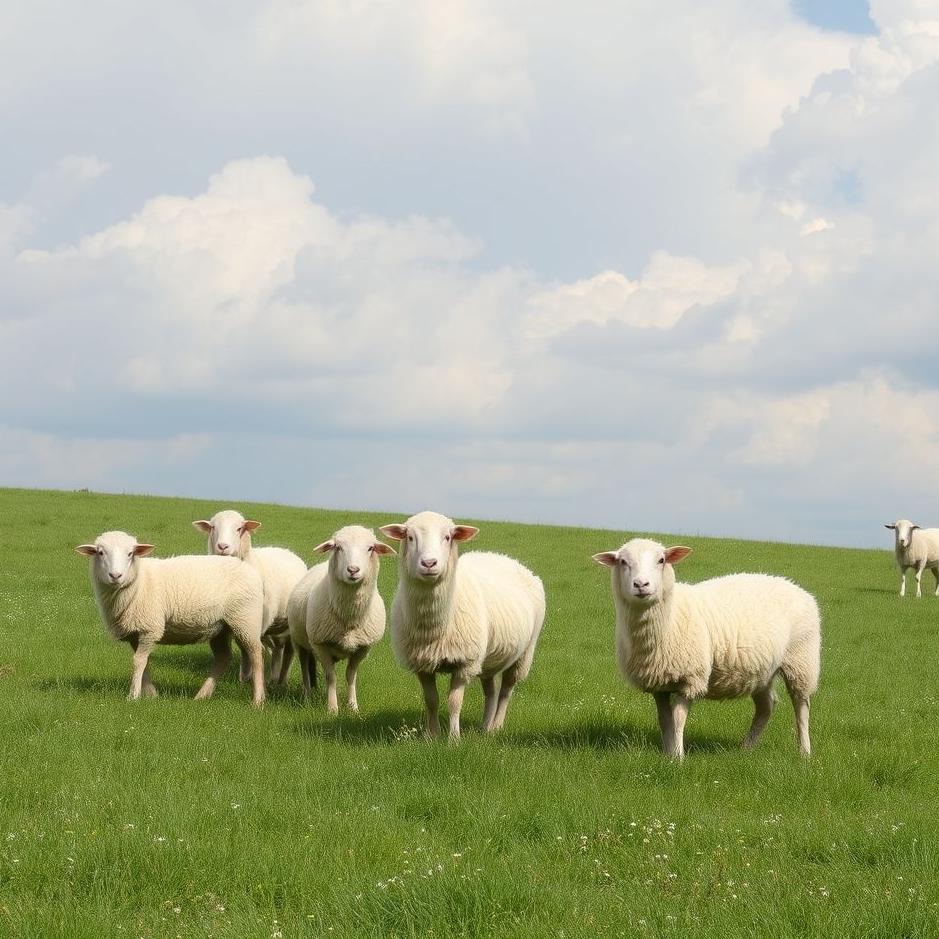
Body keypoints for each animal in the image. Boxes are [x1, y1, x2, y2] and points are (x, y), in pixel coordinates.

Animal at [75, 530, 266, 706]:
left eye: (130, 553)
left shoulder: (150, 628)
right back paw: (202, 695)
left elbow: (138, 661)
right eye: (100, 552)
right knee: (223, 658)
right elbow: (144, 662)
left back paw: (257, 700)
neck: (139, 583)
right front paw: (151, 694)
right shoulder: (136, 633)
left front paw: (133, 695)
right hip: (221, 627)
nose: (115, 576)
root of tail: (248, 568)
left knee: (256, 654)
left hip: (245, 619)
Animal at [192, 510, 308, 685]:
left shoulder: (259, 618)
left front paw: (251, 677)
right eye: (213, 527)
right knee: (278, 647)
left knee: (288, 649)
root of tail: (288, 552)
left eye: (239, 528)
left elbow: (250, 645)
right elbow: (242, 646)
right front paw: (244, 677)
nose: (222, 546)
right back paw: (273, 676)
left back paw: (281, 679)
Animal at [284, 526, 394, 713]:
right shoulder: (320, 644)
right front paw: (332, 709)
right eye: (338, 547)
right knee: (304, 667)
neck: (349, 616)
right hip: (300, 642)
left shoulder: (363, 648)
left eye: (370, 548)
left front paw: (353, 706)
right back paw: (307, 696)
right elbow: (331, 677)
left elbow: (351, 675)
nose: (353, 570)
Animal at [379, 511, 546, 741]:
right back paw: (485, 727)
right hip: (486, 657)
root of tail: (503, 557)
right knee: (491, 690)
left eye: (448, 537)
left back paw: (496, 726)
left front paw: (454, 739)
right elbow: (431, 700)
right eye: (410, 537)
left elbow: (454, 702)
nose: (429, 563)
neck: (435, 626)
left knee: (506, 690)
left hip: (523, 654)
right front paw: (432, 736)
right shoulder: (422, 664)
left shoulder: (464, 662)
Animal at [593, 538, 821, 759]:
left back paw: (805, 753)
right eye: (623, 562)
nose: (641, 584)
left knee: (801, 706)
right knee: (766, 706)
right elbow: (664, 720)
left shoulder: (691, 678)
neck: (671, 618)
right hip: (761, 671)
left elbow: (677, 719)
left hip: (801, 661)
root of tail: (796, 587)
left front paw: (677, 757)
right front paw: (667, 753)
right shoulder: (659, 684)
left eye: (661, 560)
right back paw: (746, 747)